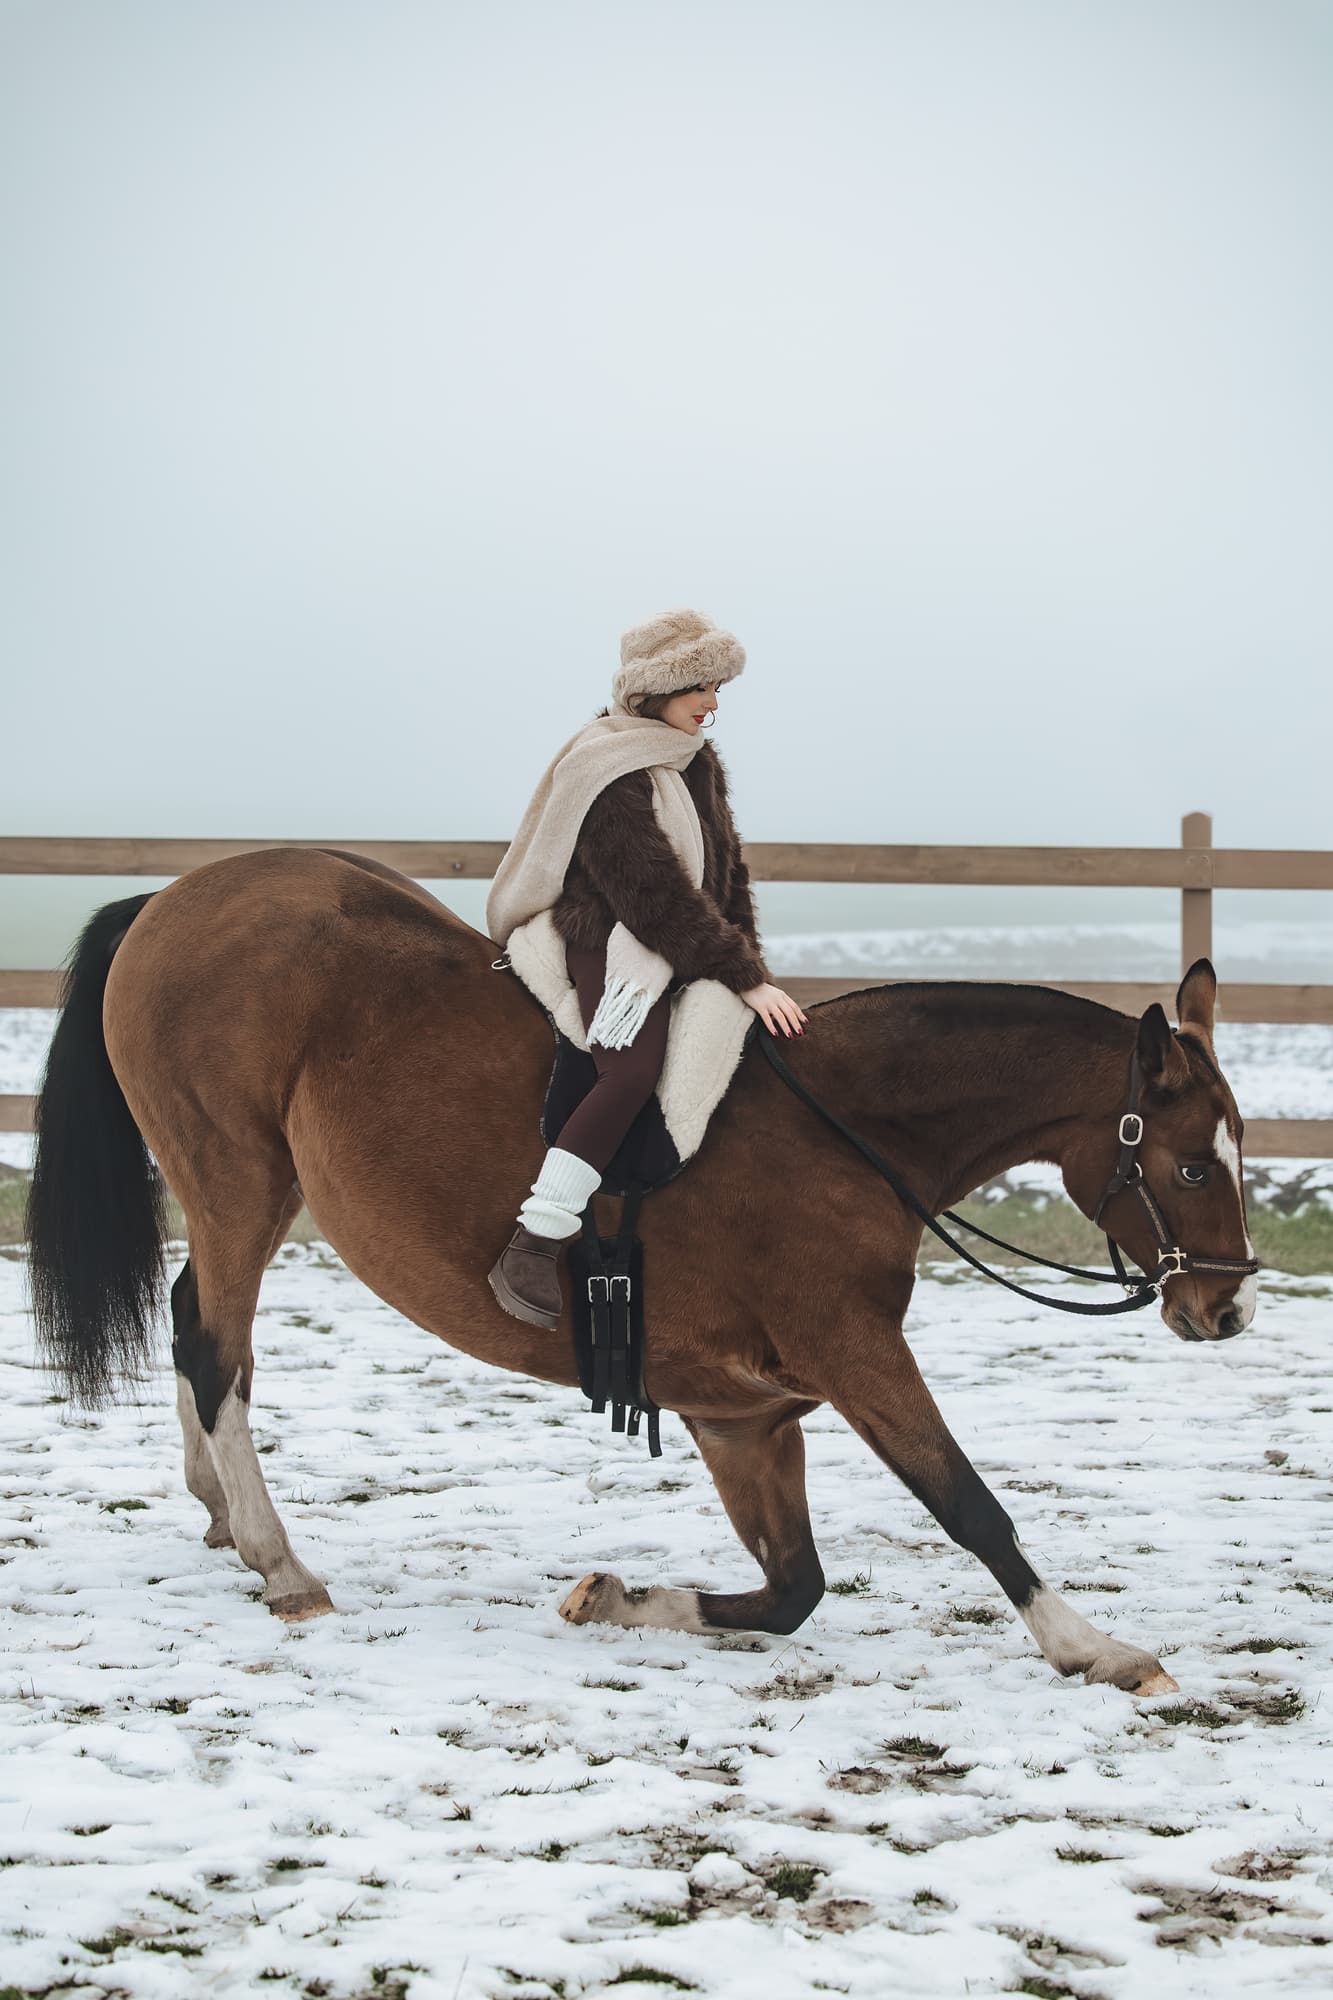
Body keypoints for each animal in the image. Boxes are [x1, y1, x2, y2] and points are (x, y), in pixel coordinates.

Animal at [26, 845, 1259, 1697]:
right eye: (1193, 1163)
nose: (1227, 1304)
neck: (849, 1130)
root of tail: (174, 896)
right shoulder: (851, 1350)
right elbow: (967, 1505)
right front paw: (1095, 1647)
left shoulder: (742, 1415)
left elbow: (793, 1589)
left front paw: (615, 1596)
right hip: (234, 1175)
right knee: (213, 1346)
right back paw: (280, 1560)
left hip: (257, 1189)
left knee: (202, 1326)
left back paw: (222, 1514)